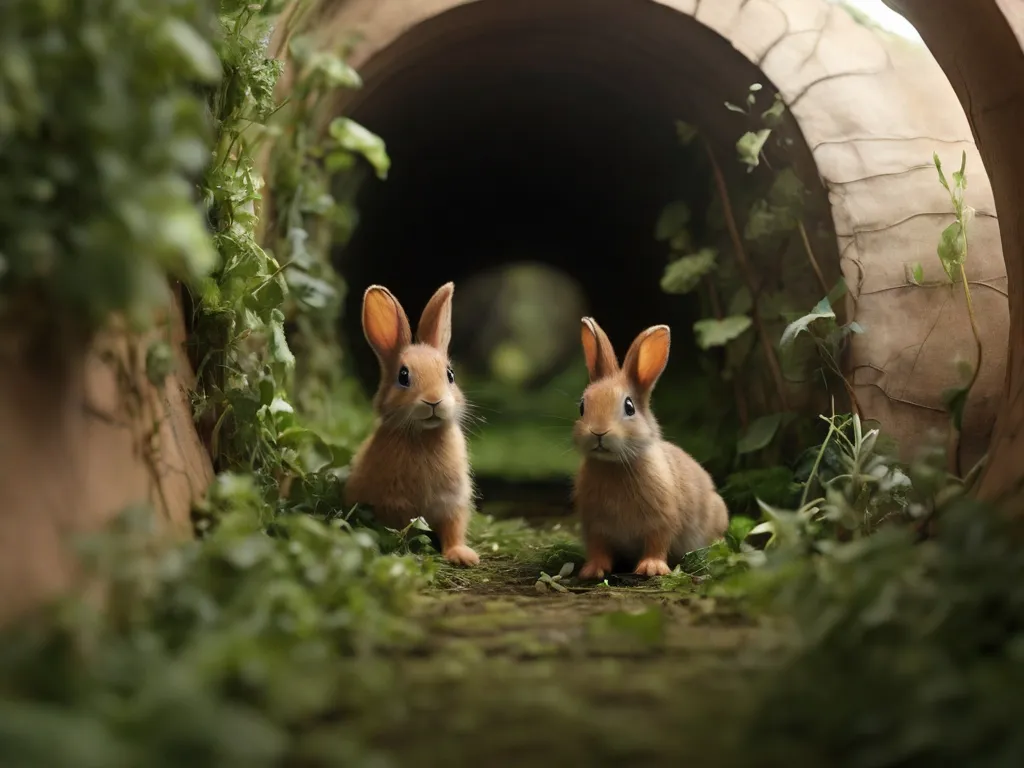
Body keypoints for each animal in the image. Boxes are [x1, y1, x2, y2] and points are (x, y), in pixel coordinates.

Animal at [339, 282, 475, 565]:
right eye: (403, 376)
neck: (425, 435)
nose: (434, 401)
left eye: (450, 375)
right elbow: (404, 530)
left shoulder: (452, 502)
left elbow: (453, 529)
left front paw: (463, 556)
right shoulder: (396, 504)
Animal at [569, 315, 729, 581]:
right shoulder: (595, 526)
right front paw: (592, 571)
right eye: (582, 407)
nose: (599, 432)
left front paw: (651, 568)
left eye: (629, 407)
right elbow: (598, 548)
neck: (616, 466)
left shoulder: (661, 520)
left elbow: (657, 543)